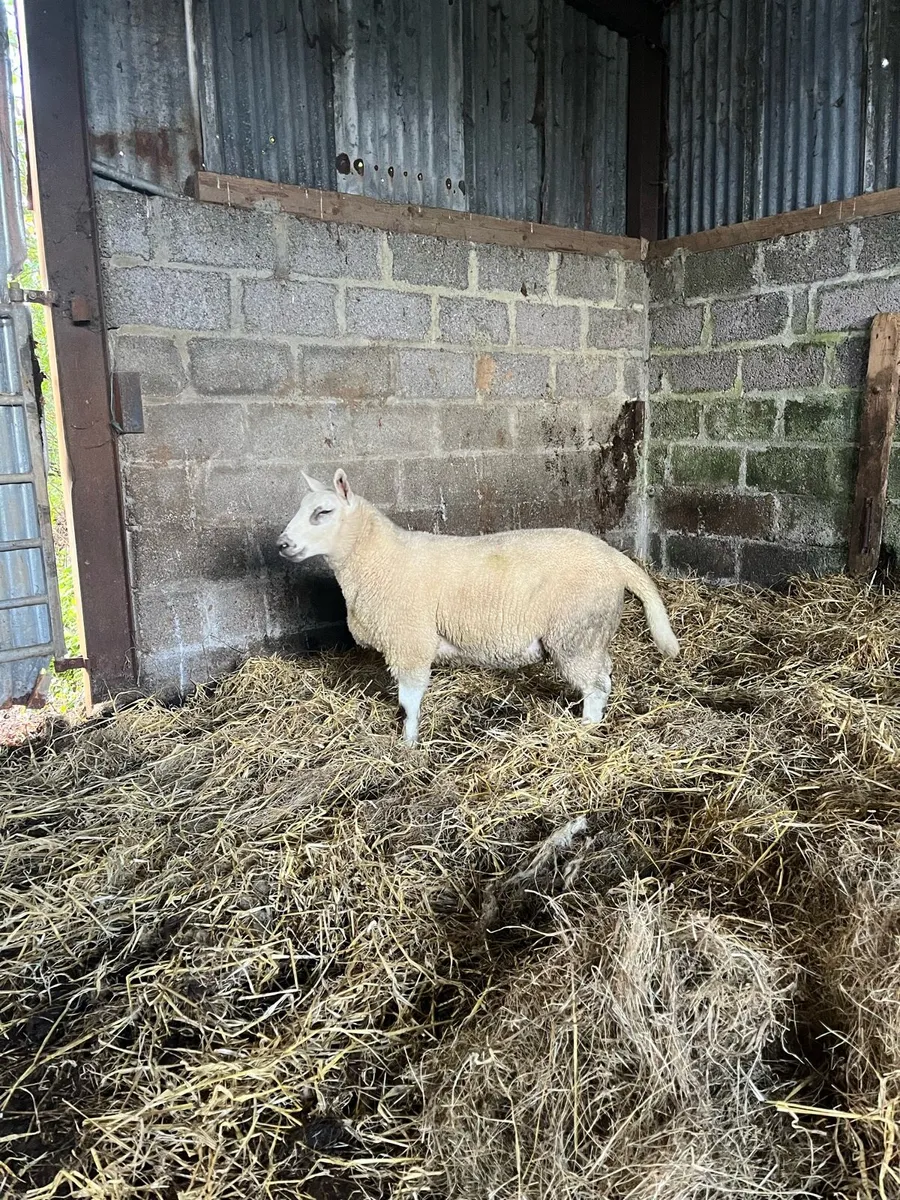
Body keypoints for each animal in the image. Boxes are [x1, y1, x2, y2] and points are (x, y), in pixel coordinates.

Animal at [277, 469, 679, 745]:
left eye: (323, 512)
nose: (282, 544)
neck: (377, 559)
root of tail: (615, 559)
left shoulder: (410, 642)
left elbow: (409, 701)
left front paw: (408, 744)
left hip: (574, 632)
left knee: (596, 686)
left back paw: (586, 727)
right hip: (592, 631)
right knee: (605, 673)